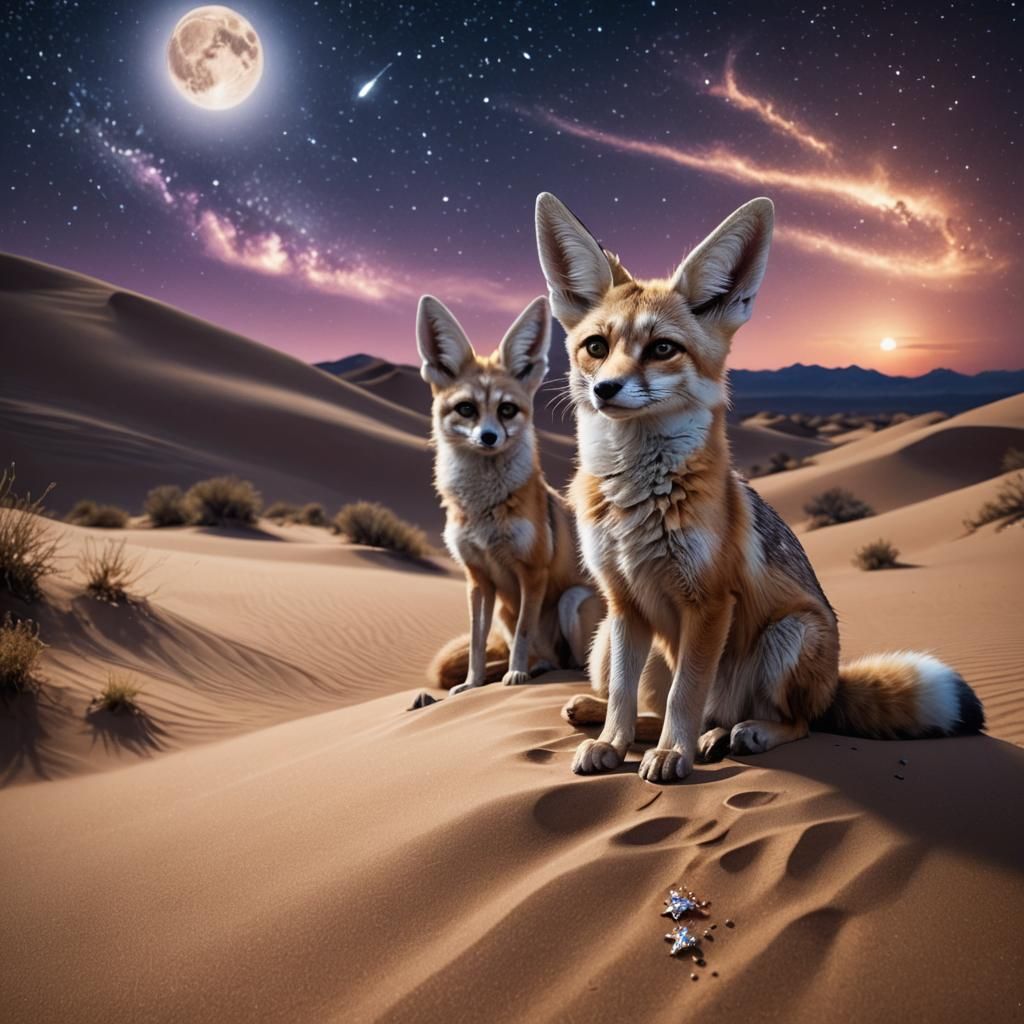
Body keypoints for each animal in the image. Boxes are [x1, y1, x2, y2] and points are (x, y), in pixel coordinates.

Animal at [417, 293, 602, 694]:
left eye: (507, 410)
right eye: (466, 409)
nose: (489, 437)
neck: (484, 511)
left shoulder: (533, 572)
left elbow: (522, 633)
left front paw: (514, 677)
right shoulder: (477, 579)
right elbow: (476, 641)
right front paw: (472, 684)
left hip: (572, 600)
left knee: (579, 663)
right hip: (504, 608)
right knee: (547, 658)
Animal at [533, 191, 985, 782]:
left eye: (662, 349)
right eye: (595, 346)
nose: (605, 389)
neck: (636, 499)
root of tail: (833, 684)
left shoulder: (709, 603)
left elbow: (685, 694)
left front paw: (673, 756)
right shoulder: (624, 602)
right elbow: (627, 699)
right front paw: (612, 742)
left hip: (788, 636)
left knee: (789, 722)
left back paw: (733, 735)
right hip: (603, 640)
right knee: (648, 705)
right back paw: (609, 717)